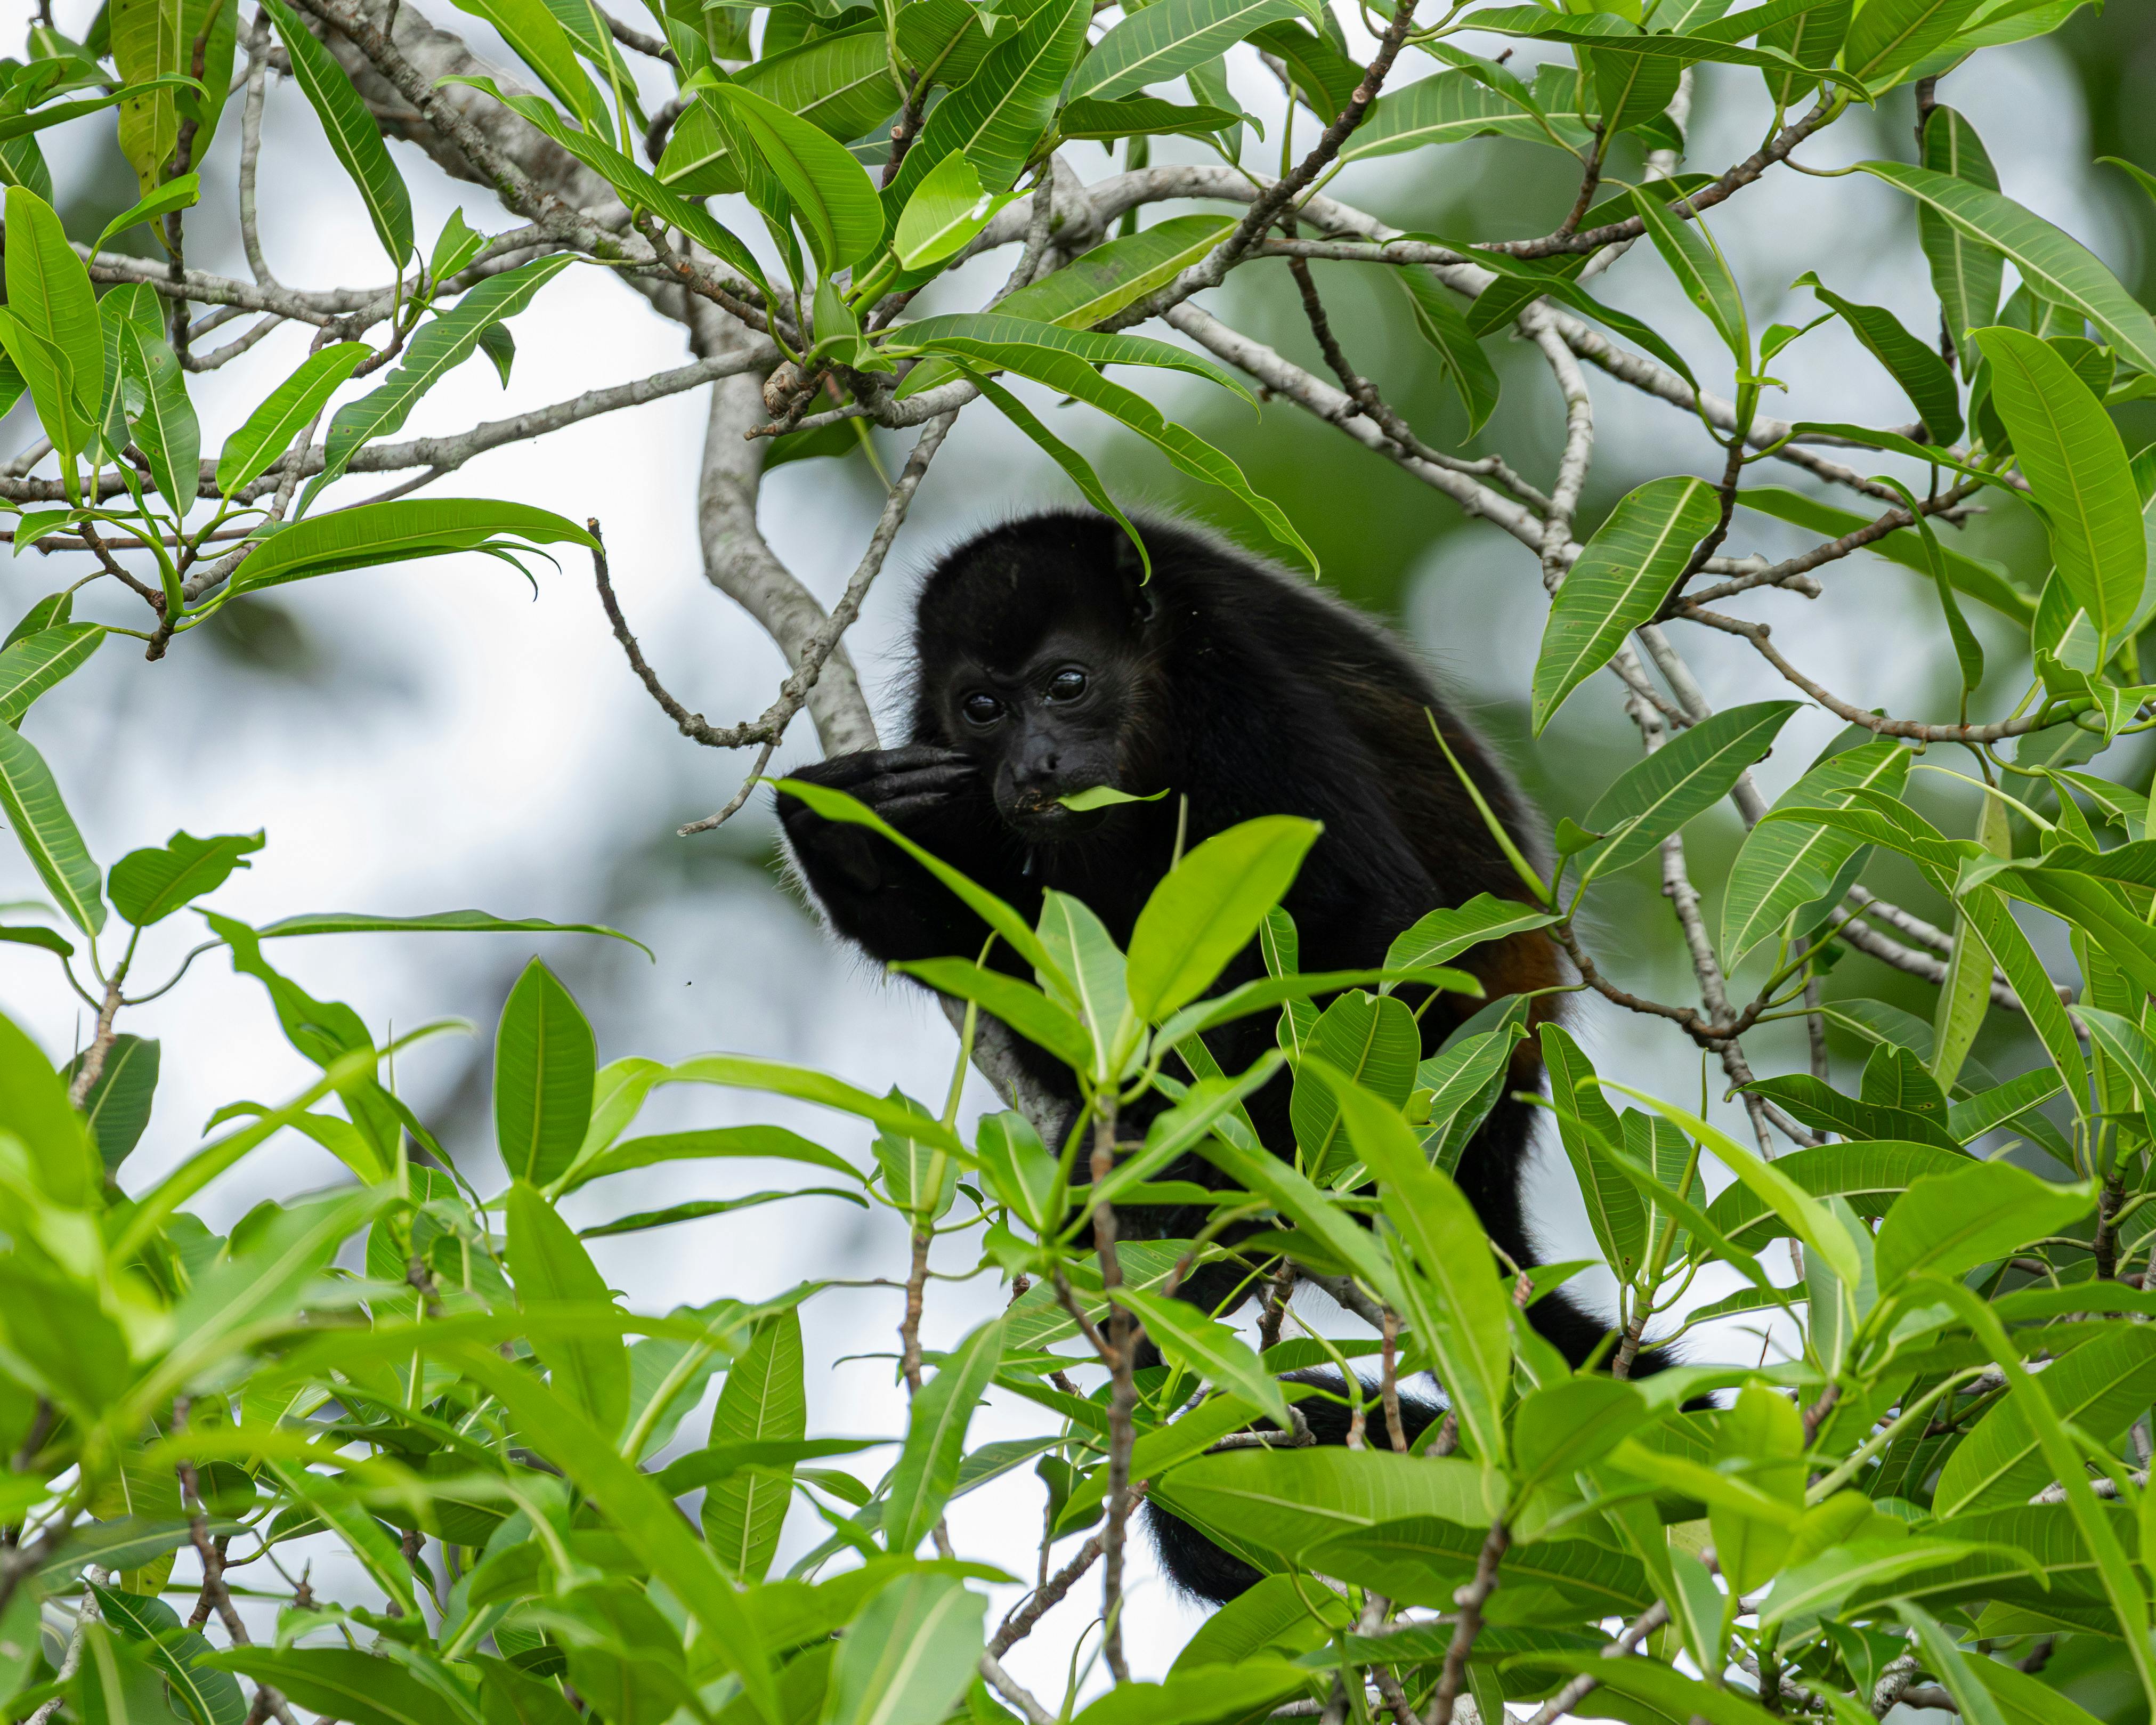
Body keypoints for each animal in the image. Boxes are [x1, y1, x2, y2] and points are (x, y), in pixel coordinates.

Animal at [776, 513, 1604, 1604]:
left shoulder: (1236, 681)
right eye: (982, 707)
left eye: (1068, 684)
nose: (1033, 761)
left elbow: (1369, 923)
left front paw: (1213, 1209)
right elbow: (988, 948)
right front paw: (844, 847)